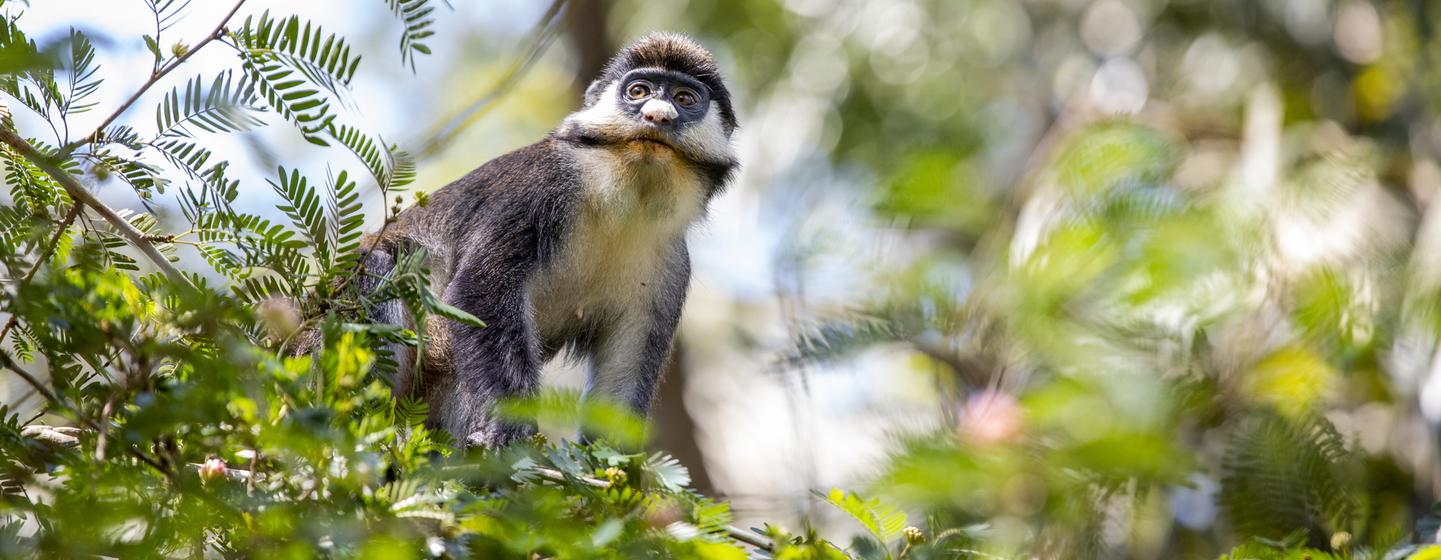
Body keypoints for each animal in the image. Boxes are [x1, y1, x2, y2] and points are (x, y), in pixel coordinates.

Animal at [358, 33, 737, 446]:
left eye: (685, 99)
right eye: (639, 91)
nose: (658, 115)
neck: (622, 203)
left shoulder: (671, 267)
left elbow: (622, 380)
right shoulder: (541, 186)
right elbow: (479, 290)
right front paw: (511, 431)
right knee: (377, 266)